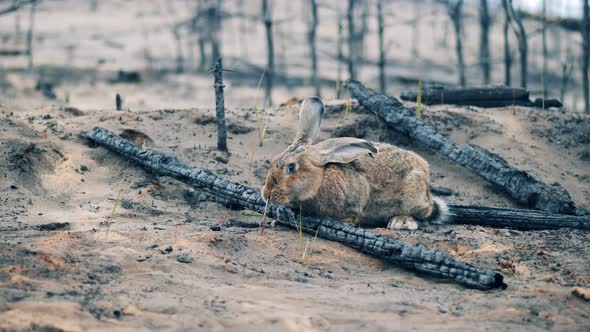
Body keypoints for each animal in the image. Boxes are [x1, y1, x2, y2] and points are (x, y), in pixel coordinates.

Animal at [262, 97, 450, 230]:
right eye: (272, 162)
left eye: (291, 167)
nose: (266, 195)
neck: (320, 179)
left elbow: (352, 216)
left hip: (412, 196)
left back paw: (400, 222)